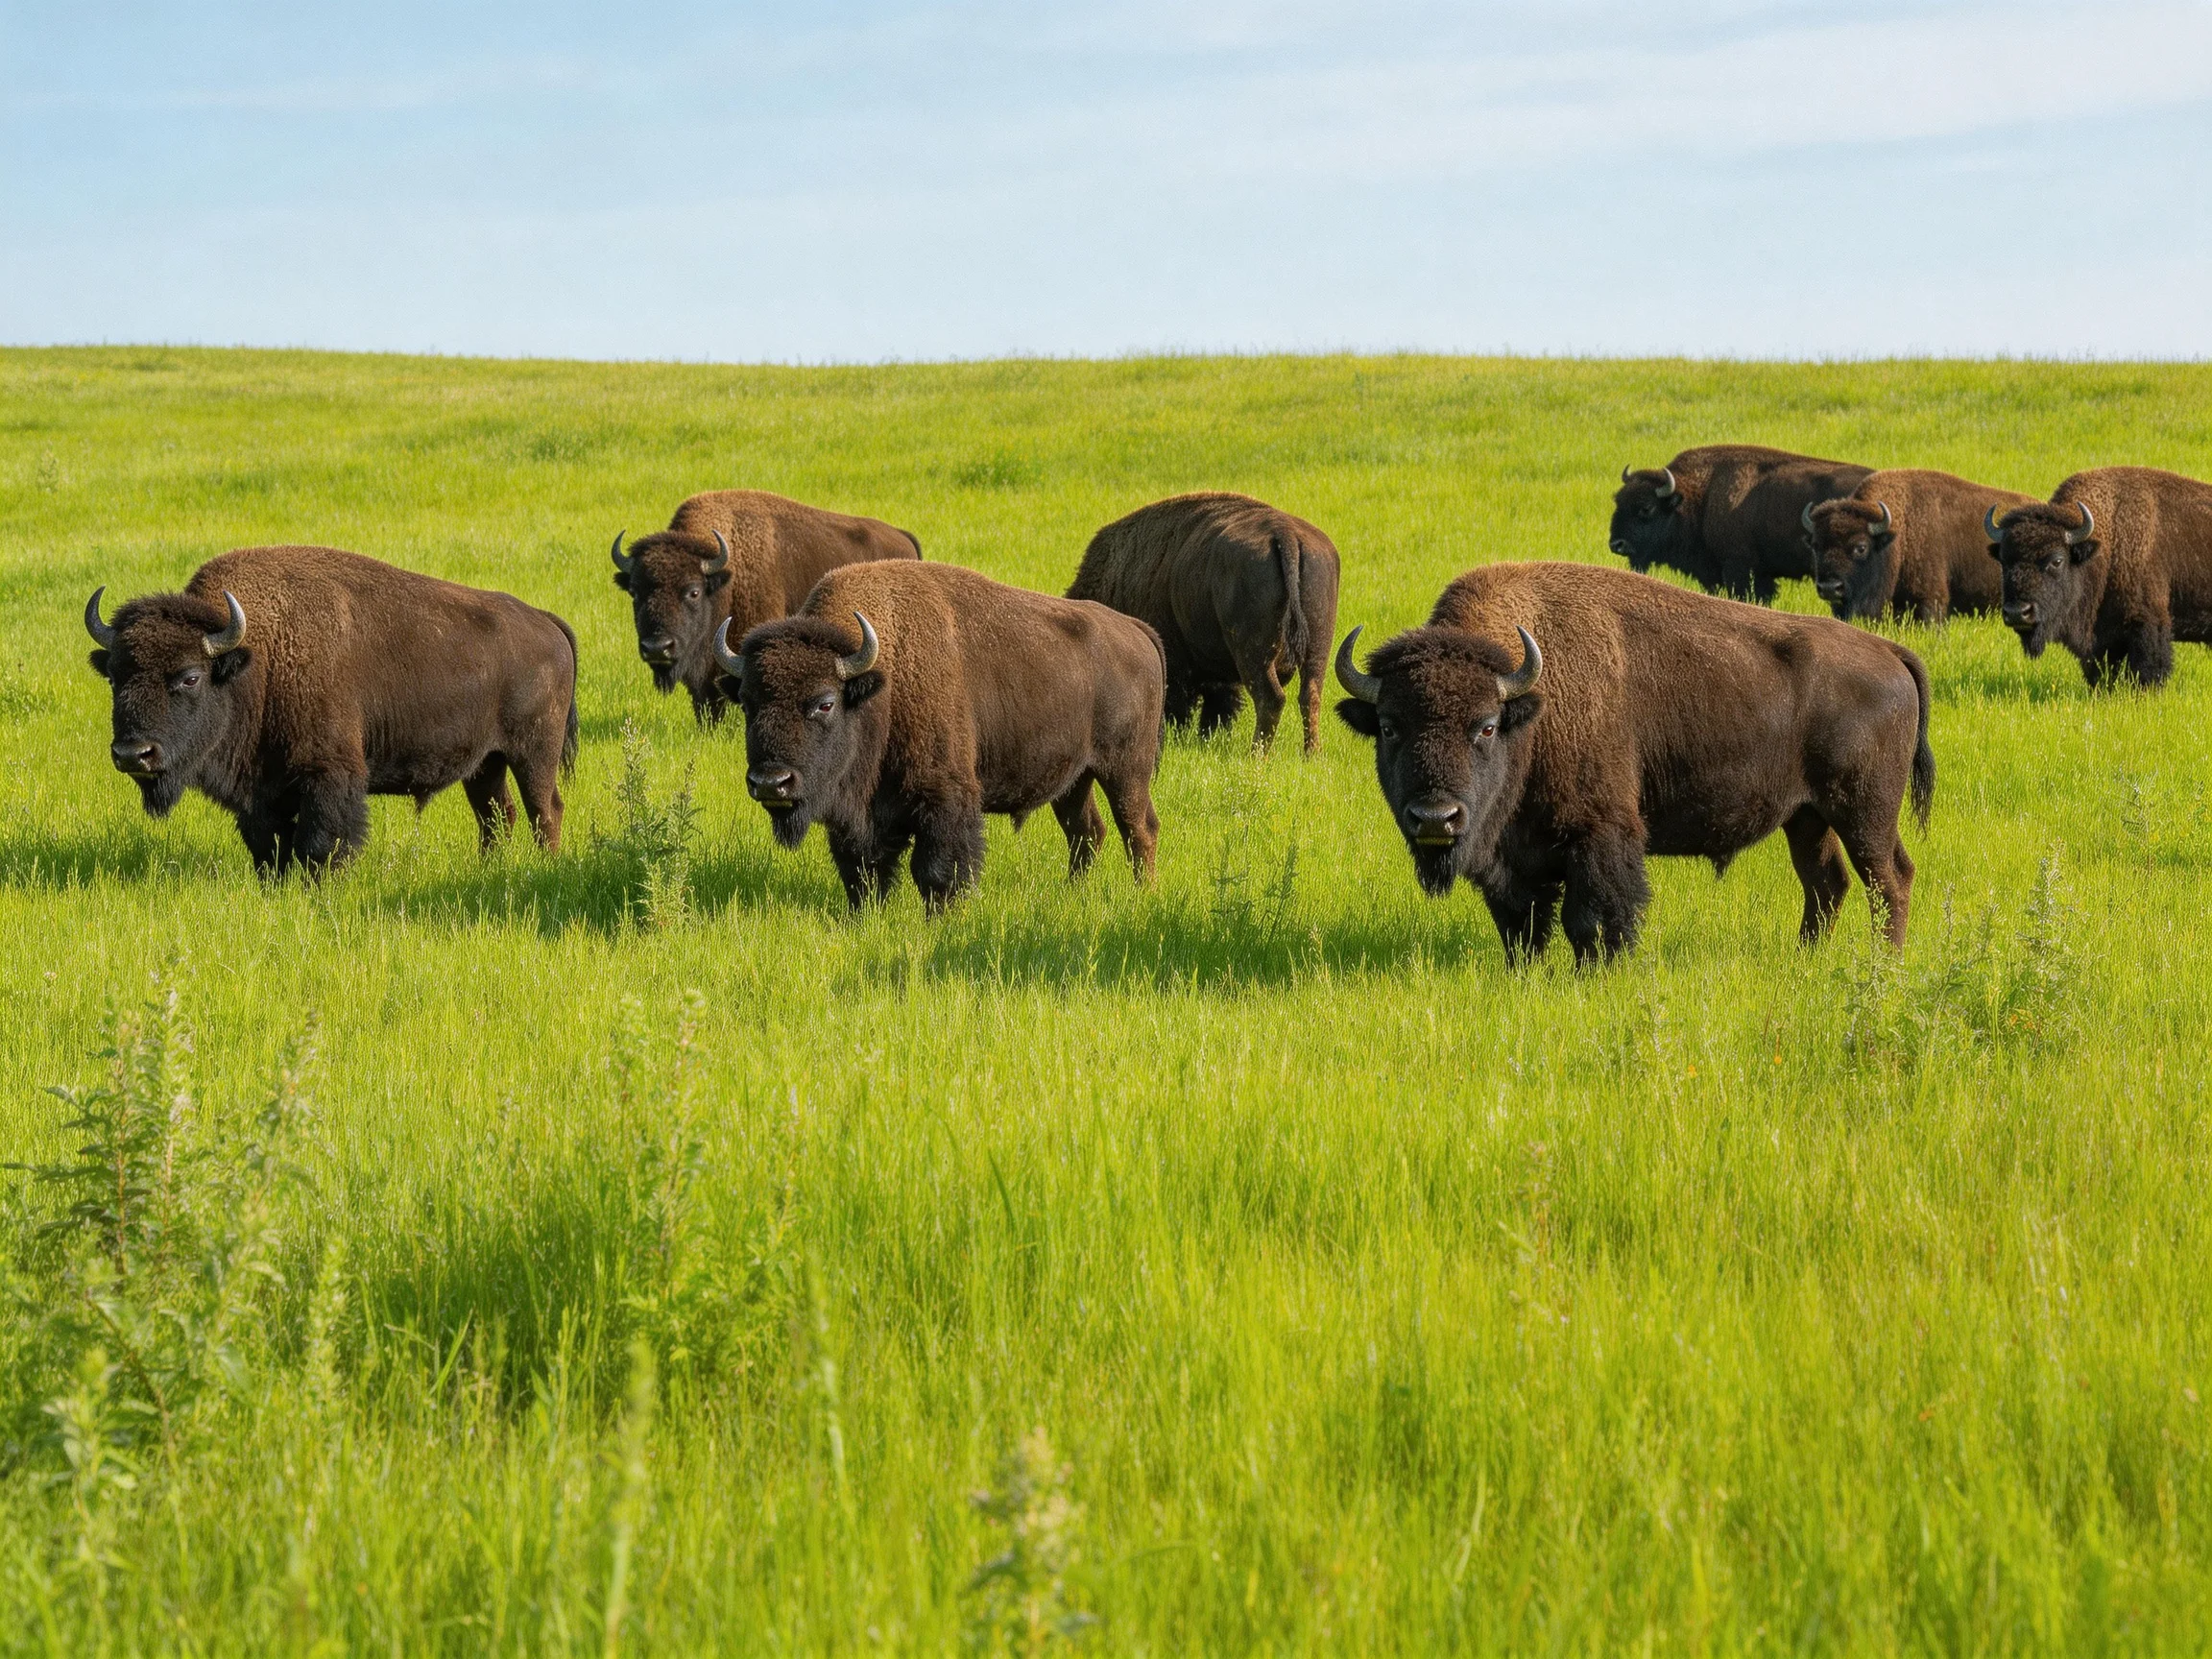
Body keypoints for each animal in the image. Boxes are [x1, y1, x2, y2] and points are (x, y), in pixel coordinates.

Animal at [85, 545, 578, 873]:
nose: (133, 754)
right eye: (114, 676)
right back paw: (489, 868)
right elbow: (268, 846)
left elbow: (320, 843)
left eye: (190, 677)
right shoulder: (263, 792)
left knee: (545, 810)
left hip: (533, 754)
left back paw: (545, 867)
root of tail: (544, 621)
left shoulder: (329, 775)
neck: (258, 660)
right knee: (497, 816)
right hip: (485, 764)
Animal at [715, 561, 1164, 909]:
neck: (880, 686)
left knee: (1138, 829)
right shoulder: (858, 818)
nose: (771, 782)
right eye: (747, 703)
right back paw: (1073, 893)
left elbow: (936, 871)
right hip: (1074, 779)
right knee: (1086, 832)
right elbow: (861, 872)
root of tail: (1134, 629)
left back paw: (1142, 895)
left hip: (1125, 770)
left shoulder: (945, 799)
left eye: (825, 703)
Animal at [1066, 492, 1340, 751]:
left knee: (1271, 698)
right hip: (1317, 647)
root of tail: (1286, 536)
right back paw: (1311, 754)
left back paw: (1257, 755)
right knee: (1310, 695)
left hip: (1254, 654)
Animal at [1334, 562, 1932, 961]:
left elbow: (1594, 917)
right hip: (1807, 817)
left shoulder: (1600, 835)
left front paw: (1600, 971)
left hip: (1863, 813)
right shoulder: (1514, 857)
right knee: (1826, 883)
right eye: (1389, 727)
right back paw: (1806, 958)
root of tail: (1888, 652)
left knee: (1890, 879)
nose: (1436, 818)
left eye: (1485, 726)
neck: (1530, 710)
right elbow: (1522, 924)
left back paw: (1886, 963)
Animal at [1989, 466, 2212, 690]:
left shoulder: (2148, 623)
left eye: (2057, 560)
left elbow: (2148, 669)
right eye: (2003, 561)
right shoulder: (2102, 639)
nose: (2017, 613)